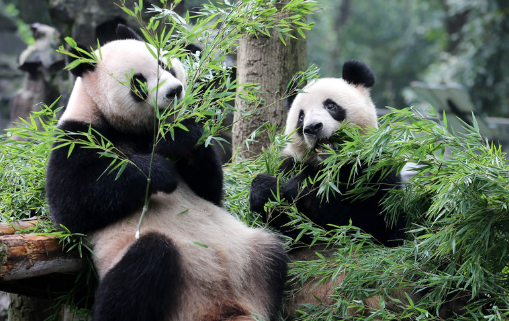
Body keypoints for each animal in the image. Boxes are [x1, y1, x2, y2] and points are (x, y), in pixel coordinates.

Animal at [45, 25, 288, 320]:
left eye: (164, 65)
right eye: (139, 81)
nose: (175, 90)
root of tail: (219, 309)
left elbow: (210, 190)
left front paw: (179, 138)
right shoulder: (77, 137)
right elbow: (73, 205)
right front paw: (158, 170)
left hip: (251, 253)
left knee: (273, 252)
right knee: (143, 268)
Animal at [248, 58, 406, 246]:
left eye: (331, 105)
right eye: (301, 117)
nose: (312, 128)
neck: (331, 164)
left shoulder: (375, 167)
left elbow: (380, 225)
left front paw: (306, 185)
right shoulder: (291, 164)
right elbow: (295, 230)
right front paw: (267, 188)